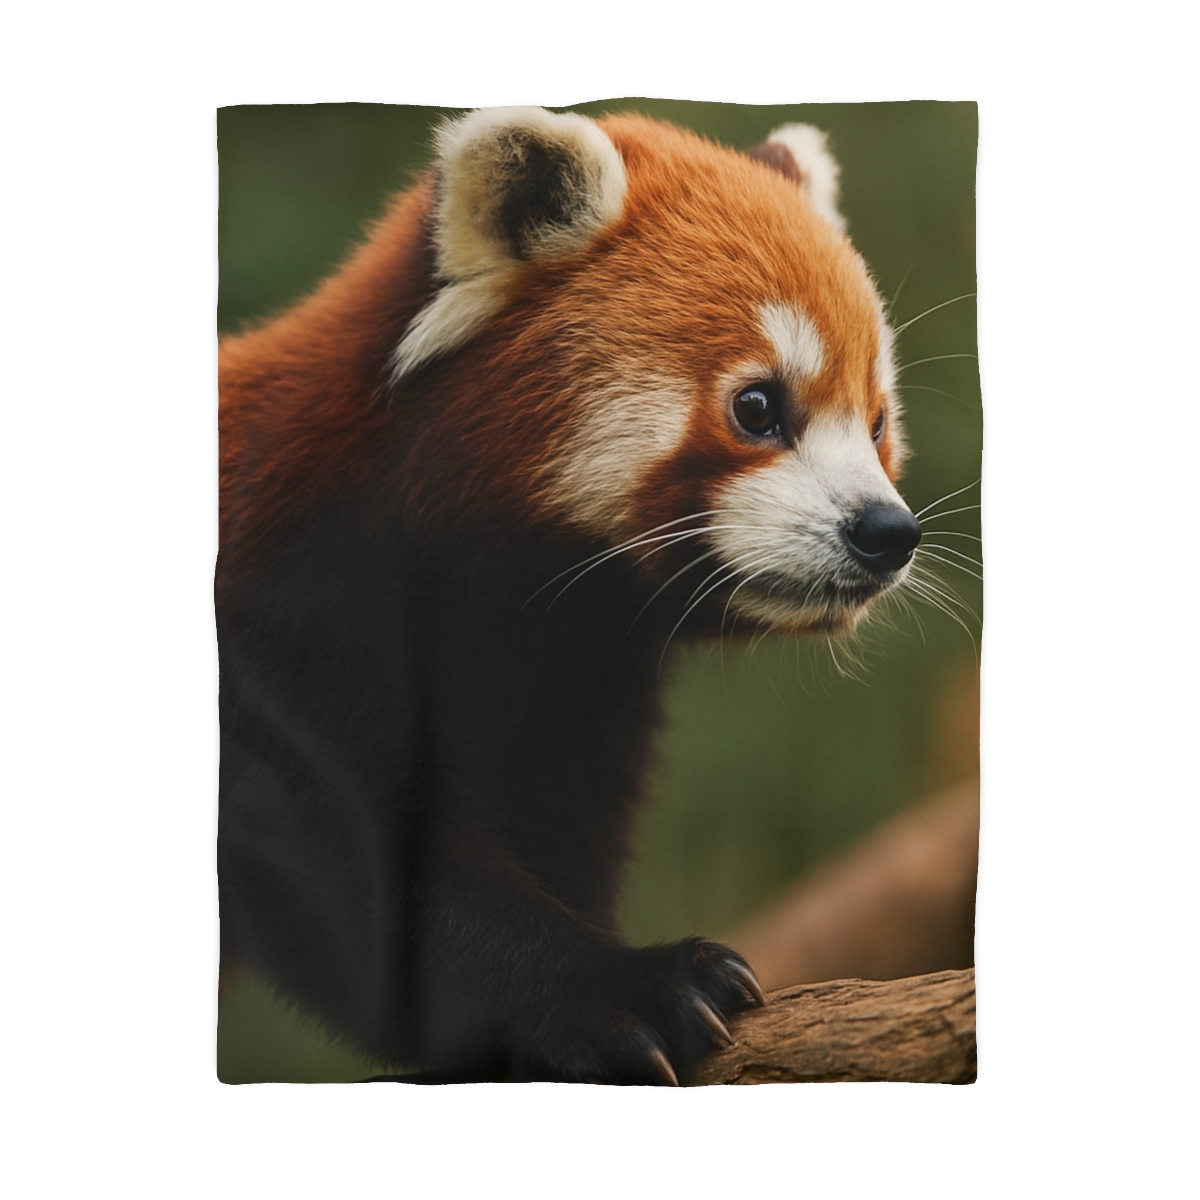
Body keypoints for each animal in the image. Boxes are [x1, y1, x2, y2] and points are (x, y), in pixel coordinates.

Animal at [217, 107, 921, 1085]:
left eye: (878, 421)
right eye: (758, 407)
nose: (887, 533)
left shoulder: (569, 701)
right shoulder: (277, 623)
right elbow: (340, 855)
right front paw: (628, 991)